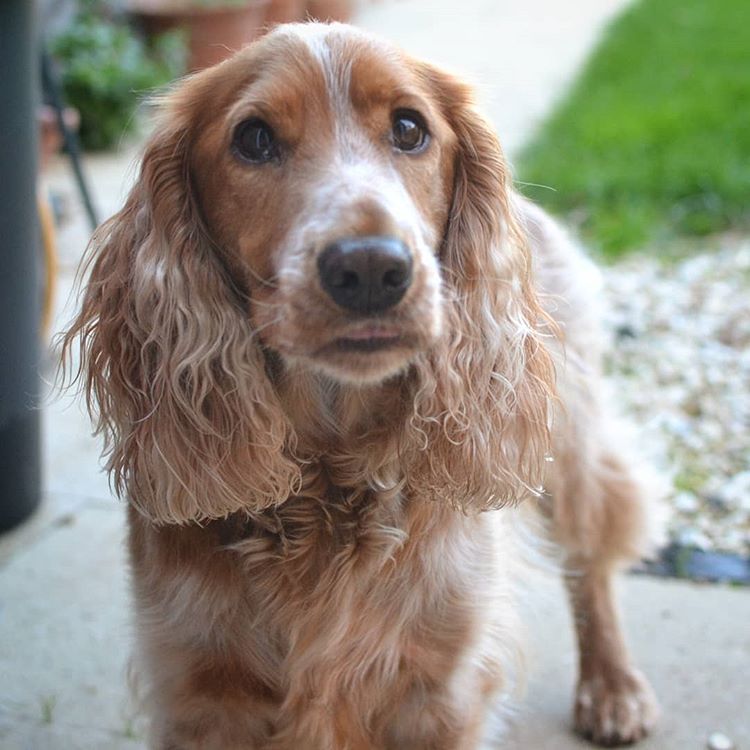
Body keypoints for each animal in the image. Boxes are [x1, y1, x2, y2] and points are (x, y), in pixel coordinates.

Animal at [66, 20, 664, 748]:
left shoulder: (443, 692)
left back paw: (612, 686)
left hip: (569, 445)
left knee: (590, 561)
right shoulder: (200, 693)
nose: (372, 268)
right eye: (253, 138)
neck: (328, 484)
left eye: (409, 128)